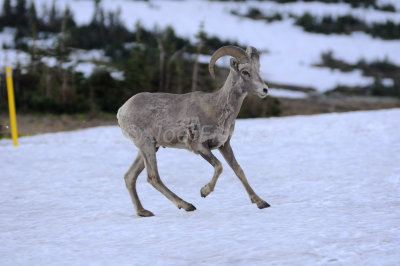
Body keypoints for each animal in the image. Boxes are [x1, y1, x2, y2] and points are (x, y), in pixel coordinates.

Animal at [117, 45, 270, 216]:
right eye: (245, 72)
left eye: (258, 70)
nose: (265, 90)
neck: (216, 108)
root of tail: (122, 110)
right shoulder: (199, 147)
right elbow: (219, 166)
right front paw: (204, 192)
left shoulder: (224, 145)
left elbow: (238, 170)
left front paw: (261, 202)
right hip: (147, 145)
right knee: (153, 177)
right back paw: (187, 205)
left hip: (150, 148)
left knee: (130, 177)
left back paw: (143, 212)